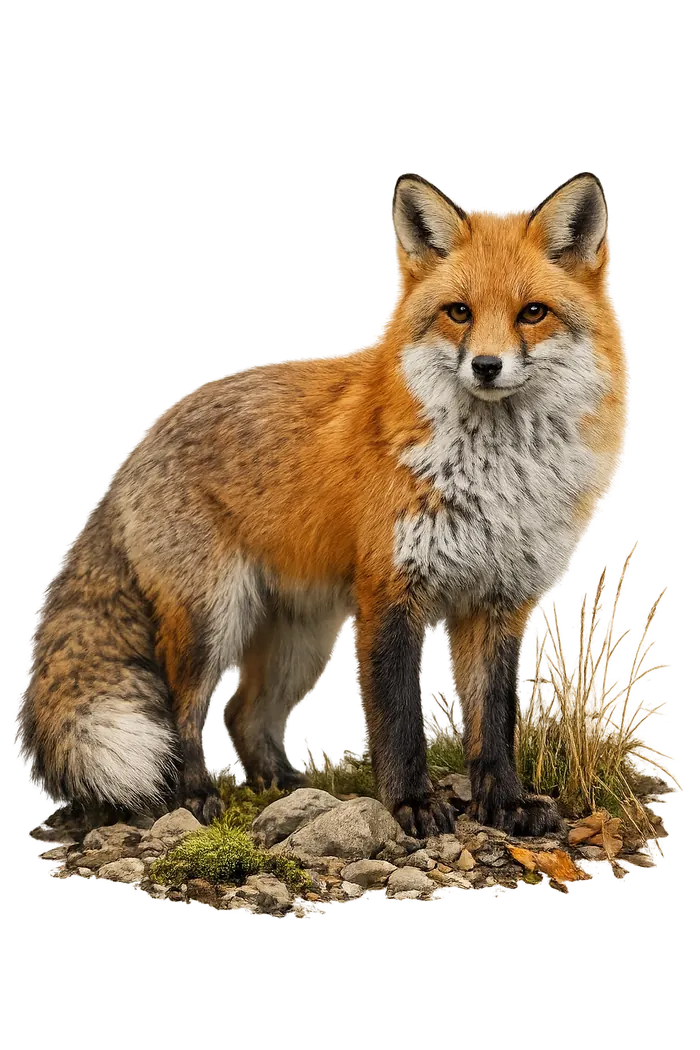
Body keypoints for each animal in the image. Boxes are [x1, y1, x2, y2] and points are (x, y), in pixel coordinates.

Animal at [17, 170, 630, 840]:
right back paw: (195, 794)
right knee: (184, 711)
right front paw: (412, 805)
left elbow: (493, 725)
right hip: (212, 620)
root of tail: (136, 445)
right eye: (459, 313)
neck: (496, 477)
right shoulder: (390, 592)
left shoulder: (498, 601)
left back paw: (283, 789)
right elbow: (399, 721)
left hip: (302, 642)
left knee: (242, 716)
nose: (487, 366)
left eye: (533, 314)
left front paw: (505, 806)